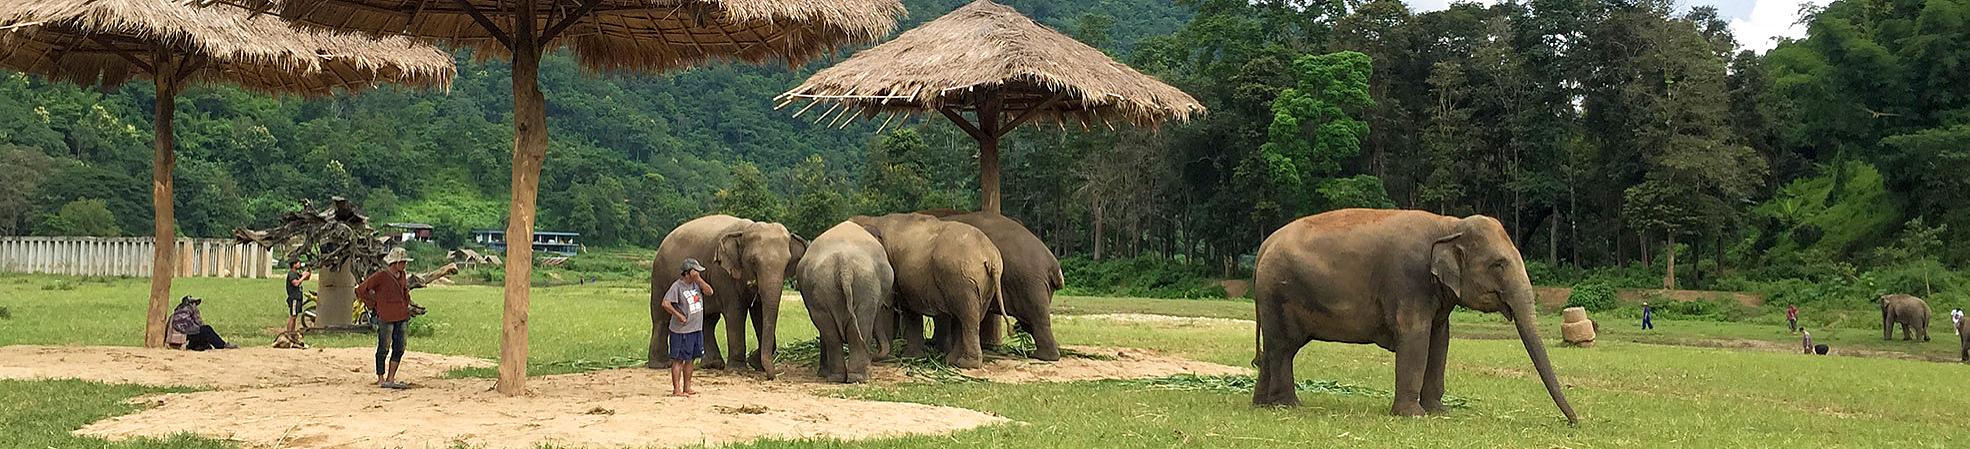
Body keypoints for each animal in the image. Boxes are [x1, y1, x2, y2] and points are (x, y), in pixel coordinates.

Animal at [642, 215, 803, 376]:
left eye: (787, 263)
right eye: (753, 262)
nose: (771, 377)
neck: (744, 231)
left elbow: (760, 313)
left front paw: (755, 363)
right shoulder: (723, 275)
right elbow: (735, 314)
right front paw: (738, 369)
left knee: (708, 320)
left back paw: (712, 364)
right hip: (660, 275)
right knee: (661, 318)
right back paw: (661, 365)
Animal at [795, 220, 898, 382]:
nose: (874, 355)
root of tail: (843, 263)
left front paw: (822, 373)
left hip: (824, 289)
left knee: (831, 333)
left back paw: (837, 378)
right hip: (866, 287)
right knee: (861, 327)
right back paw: (860, 377)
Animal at [847, 213, 1000, 368]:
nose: (873, 354)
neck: (873, 220)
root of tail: (991, 256)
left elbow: (895, 306)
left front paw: (903, 357)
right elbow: (908, 307)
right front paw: (912, 357)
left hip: (962, 279)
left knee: (967, 318)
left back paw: (966, 364)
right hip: (977, 284)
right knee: (965, 317)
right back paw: (952, 361)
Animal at [918, 208, 1063, 360]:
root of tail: (1053, 264)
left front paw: (937, 349)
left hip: (1031, 284)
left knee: (1036, 318)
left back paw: (1041, 356)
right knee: (1032, 321)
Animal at [1252, 210, 1576, 425]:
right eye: (1498, 264)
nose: (1574, 422)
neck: (1449, 224)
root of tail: (1264, 246)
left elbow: (1440, 339)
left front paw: (1439, 412)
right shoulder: (1408, 280)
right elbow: (1416, 336)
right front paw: (1414, 416)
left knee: (1273, 349)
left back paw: (1262, 405)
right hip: (1279, 293)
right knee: (1283, 348)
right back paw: (1289, 406)